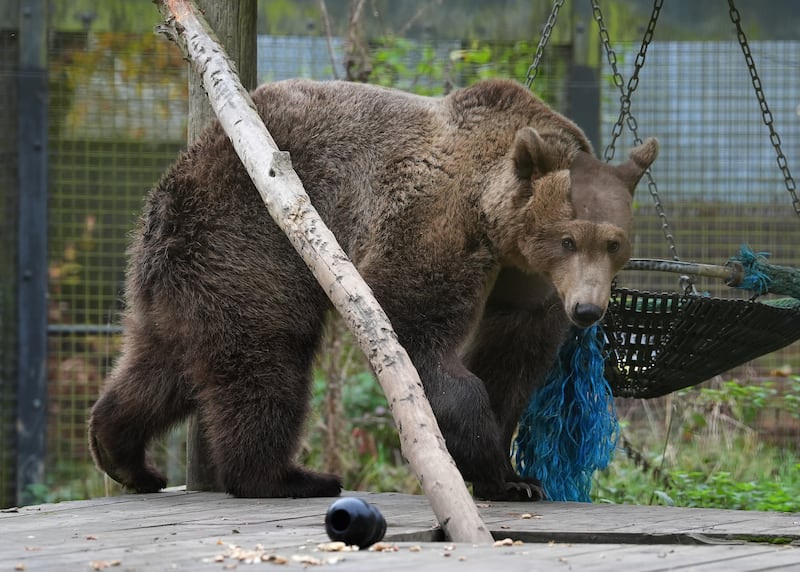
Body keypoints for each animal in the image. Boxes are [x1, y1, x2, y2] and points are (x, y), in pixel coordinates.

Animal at [90, 77, 660, 500]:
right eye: (569, 239)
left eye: (614, 243)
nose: (587, 310)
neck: (500, 230)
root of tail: (170, 185)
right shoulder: (438, 222)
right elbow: (413, 331)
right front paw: (492, 465)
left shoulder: (527, 287)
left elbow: (511, 362)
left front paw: (515, 475)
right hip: (246, 242)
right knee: (266, 359)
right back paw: (287, 476)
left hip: (183, 274)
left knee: (162, 365)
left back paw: (123, 454)